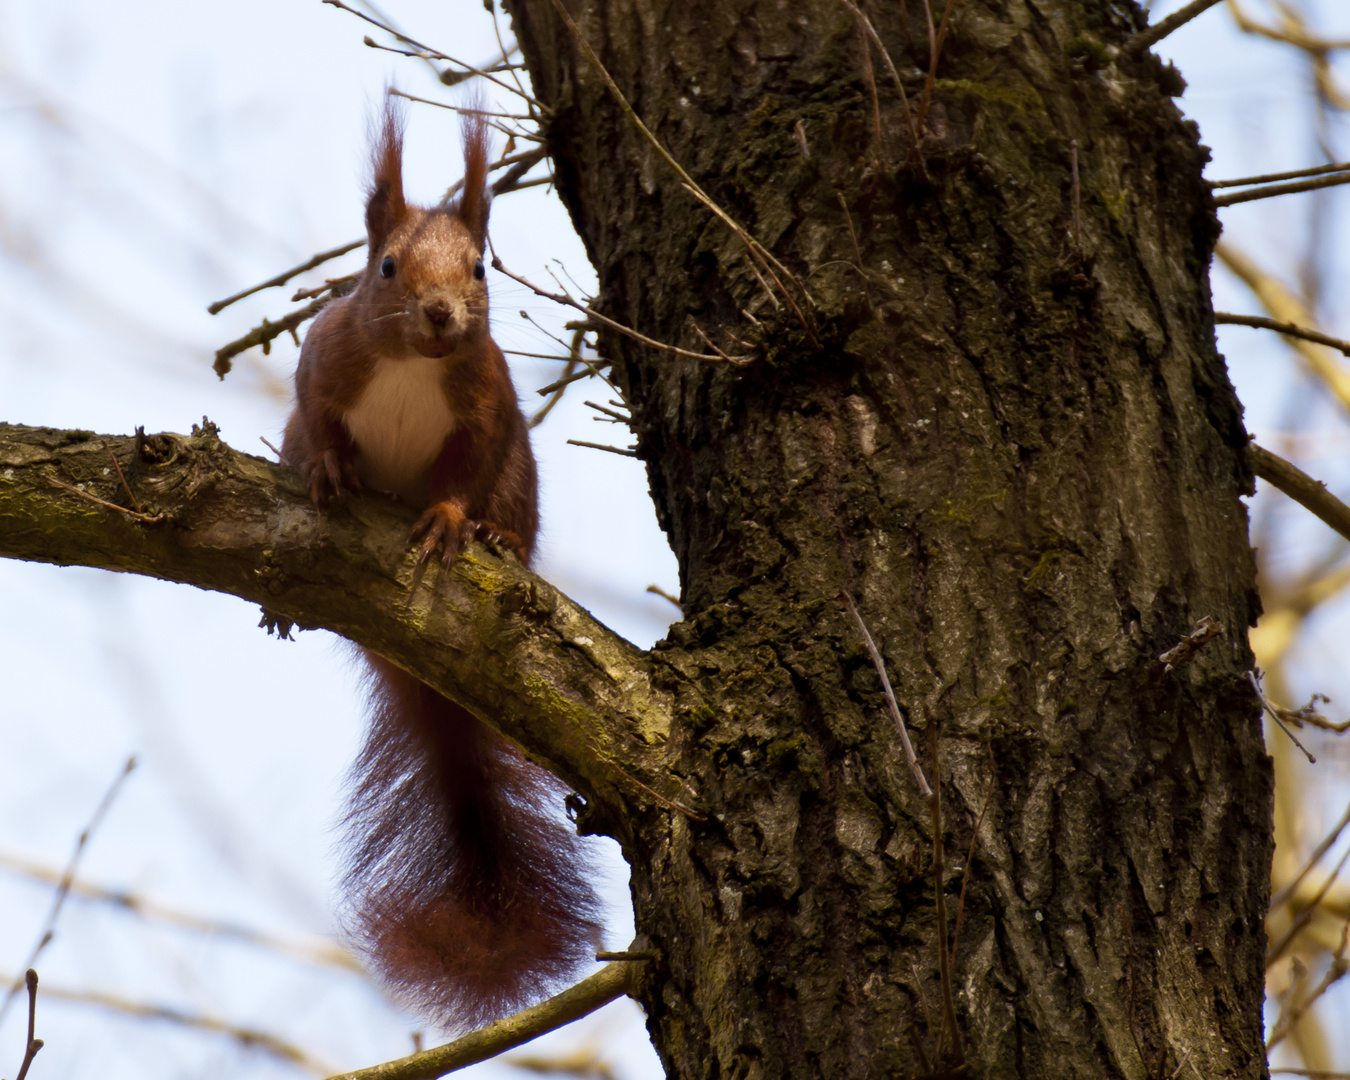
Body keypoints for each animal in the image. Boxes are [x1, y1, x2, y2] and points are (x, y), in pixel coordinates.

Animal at [280, 107, 602, 1031]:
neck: (409, 368)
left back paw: (496, 541)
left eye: (480, 267)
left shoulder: (487, 409)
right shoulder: (320, 365)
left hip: (521, 479)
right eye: (386, 266)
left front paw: (453, 522)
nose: (439, 314)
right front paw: (328, 470)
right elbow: (319, 420)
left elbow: (462, 474)